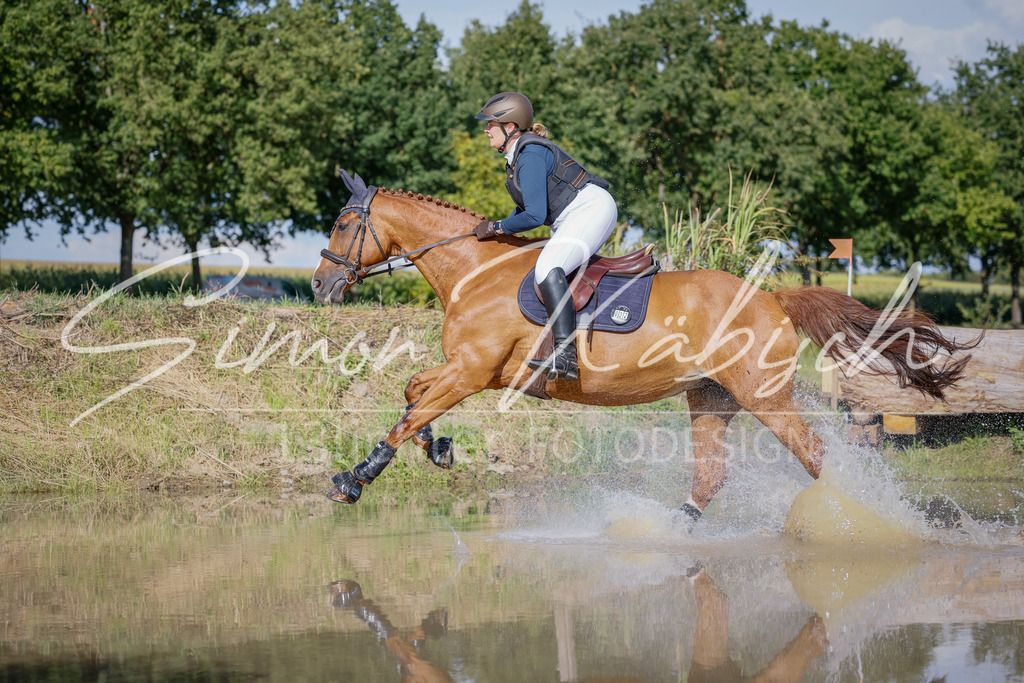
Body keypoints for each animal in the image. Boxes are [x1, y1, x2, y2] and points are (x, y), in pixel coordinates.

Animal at [311, 171, 974, 522]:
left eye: (342, 224)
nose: (319, 285)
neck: (474, 271)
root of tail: (773, 298)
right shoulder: (473, 372)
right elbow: (413, 394)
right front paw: (439, 449)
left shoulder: (472, 372)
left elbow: (408, 415)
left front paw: (354, 479)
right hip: (710, 397)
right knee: (712, 473)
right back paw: (670, 529)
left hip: (763, 396)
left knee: (813, 453)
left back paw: (838, 519)